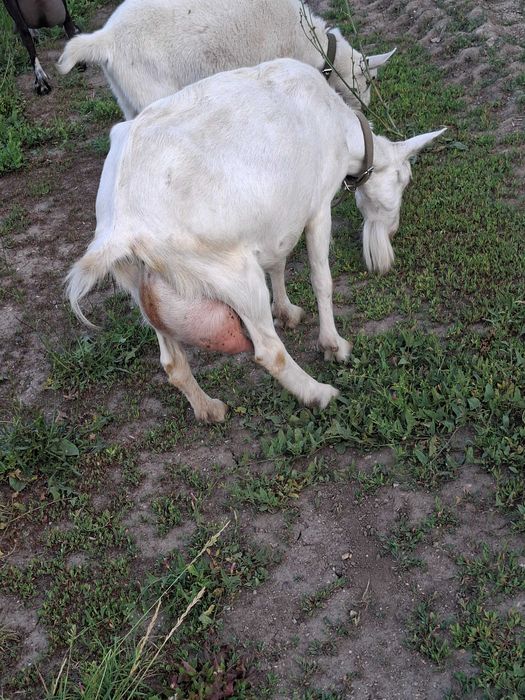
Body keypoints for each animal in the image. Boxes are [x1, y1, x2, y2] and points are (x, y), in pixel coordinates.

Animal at [67, 58, 445, 422]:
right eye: (404, 179)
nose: (392, 231)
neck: (341, 128)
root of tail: (125, 224)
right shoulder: (318, 206)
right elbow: (321, 279)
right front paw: (334, 345)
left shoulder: (278, 215)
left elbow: (278, 261)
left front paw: (287, 311)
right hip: (233, 275)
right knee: (267, 352)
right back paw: (319, 393)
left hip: (140, 285)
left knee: (172, 363)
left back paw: (209, 410)